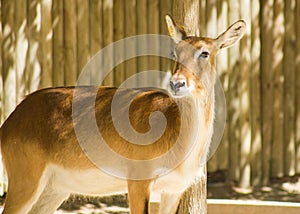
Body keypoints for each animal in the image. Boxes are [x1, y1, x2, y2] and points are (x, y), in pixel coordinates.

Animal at [0, 14, 245, 213]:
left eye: (205, 52)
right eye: (174, 52)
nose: (177, 83)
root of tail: (8, 124)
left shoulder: (174, 189)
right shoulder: (137, 179)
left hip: (54, 189)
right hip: (25, 177)